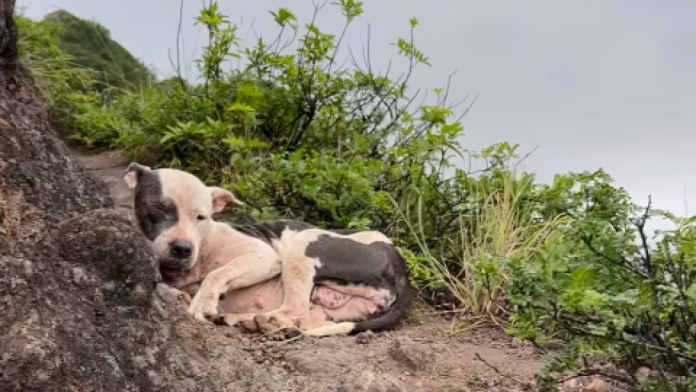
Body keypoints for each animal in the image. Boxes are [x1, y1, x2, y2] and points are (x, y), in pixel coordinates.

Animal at [124, 162, 414, 336]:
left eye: (201, 217)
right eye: (158, 207)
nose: (182, 249)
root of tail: (400, 264)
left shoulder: (263, 256)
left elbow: (217, 274)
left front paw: (202, 301)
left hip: (304, 244)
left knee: (293, 310)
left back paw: (251, 320)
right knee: (303, 318)